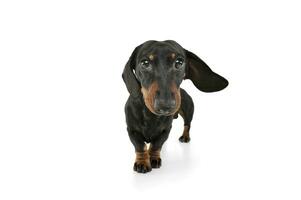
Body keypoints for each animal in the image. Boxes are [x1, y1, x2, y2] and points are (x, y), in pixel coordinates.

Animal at [122, 40, 227, 173]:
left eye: (179, 62)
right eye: (145, 63)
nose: (165, 105)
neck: (151, 116)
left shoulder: (166, 130)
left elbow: (156, 145)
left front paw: (154, 158)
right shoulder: (132, 130)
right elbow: (140, 146)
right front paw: (142, 162)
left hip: (188, 112)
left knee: (187, 125)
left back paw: (185, 137)